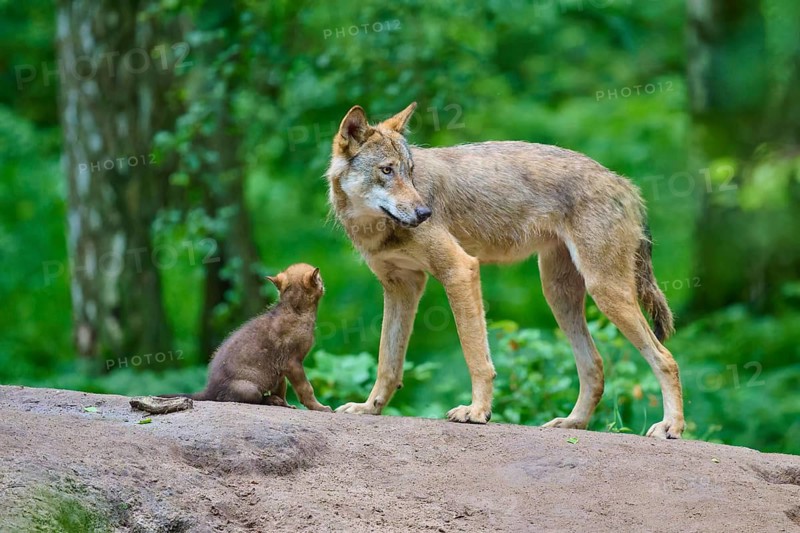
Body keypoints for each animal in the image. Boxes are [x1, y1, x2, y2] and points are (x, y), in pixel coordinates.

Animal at [325, 102, 684, 439]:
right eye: (387, 170)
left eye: (410, 172)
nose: (425, 212)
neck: (373, 228)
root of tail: (623, 182)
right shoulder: (402, 286)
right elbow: (387, 361)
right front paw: (369, 407)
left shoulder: (460, 269)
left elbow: (476, 356)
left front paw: (477, 412)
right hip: (558, 295)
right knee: (594, 365)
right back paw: (572, 422)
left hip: (606, 292)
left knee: (665, 358)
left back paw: (671, 426)